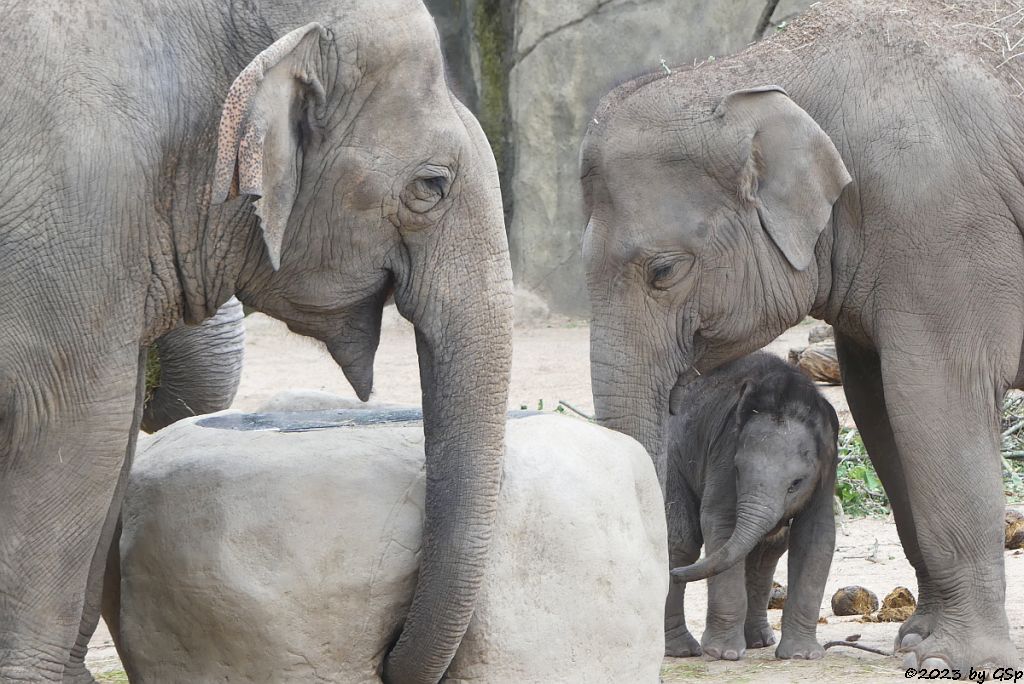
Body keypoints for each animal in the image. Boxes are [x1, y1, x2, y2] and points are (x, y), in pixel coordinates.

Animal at [663, 350, 839, 659]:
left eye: (796, 483)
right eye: (737, 471)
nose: (675, 576)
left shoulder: (827, 469)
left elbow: (817, 534)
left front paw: (801, 655)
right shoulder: (724, 452)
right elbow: (721, 522)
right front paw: (724, 654)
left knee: (768, 551)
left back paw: (759, 640)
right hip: (674, 460)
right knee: (682, 541)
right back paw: (682, 649)